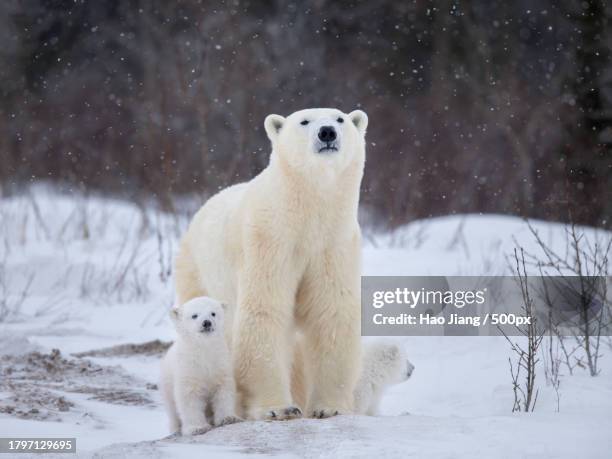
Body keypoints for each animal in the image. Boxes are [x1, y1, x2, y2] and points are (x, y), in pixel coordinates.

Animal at [175, 108, 366, 420]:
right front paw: (277, 408)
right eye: (304, 121)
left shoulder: (333, 243)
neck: (306, 214)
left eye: (340, 119)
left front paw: (330, 407)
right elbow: (264, 309)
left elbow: (331, 312)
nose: (327, 132)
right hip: (197, 273)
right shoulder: (269, 239)